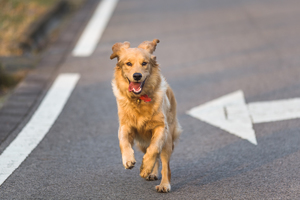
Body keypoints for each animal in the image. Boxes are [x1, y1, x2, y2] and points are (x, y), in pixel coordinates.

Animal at [109, 39, 180, 192]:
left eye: (144, 63)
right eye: (128, 63)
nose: (137, 76)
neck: (139, 100)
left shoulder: (161, 128)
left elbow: (154, 149)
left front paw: (145, 168)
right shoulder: (125, 126)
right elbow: (123, 142)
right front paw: (128, 159)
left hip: (168, 140)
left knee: (164, 164)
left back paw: (163, 184)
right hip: (141, 143)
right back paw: (152, 173)